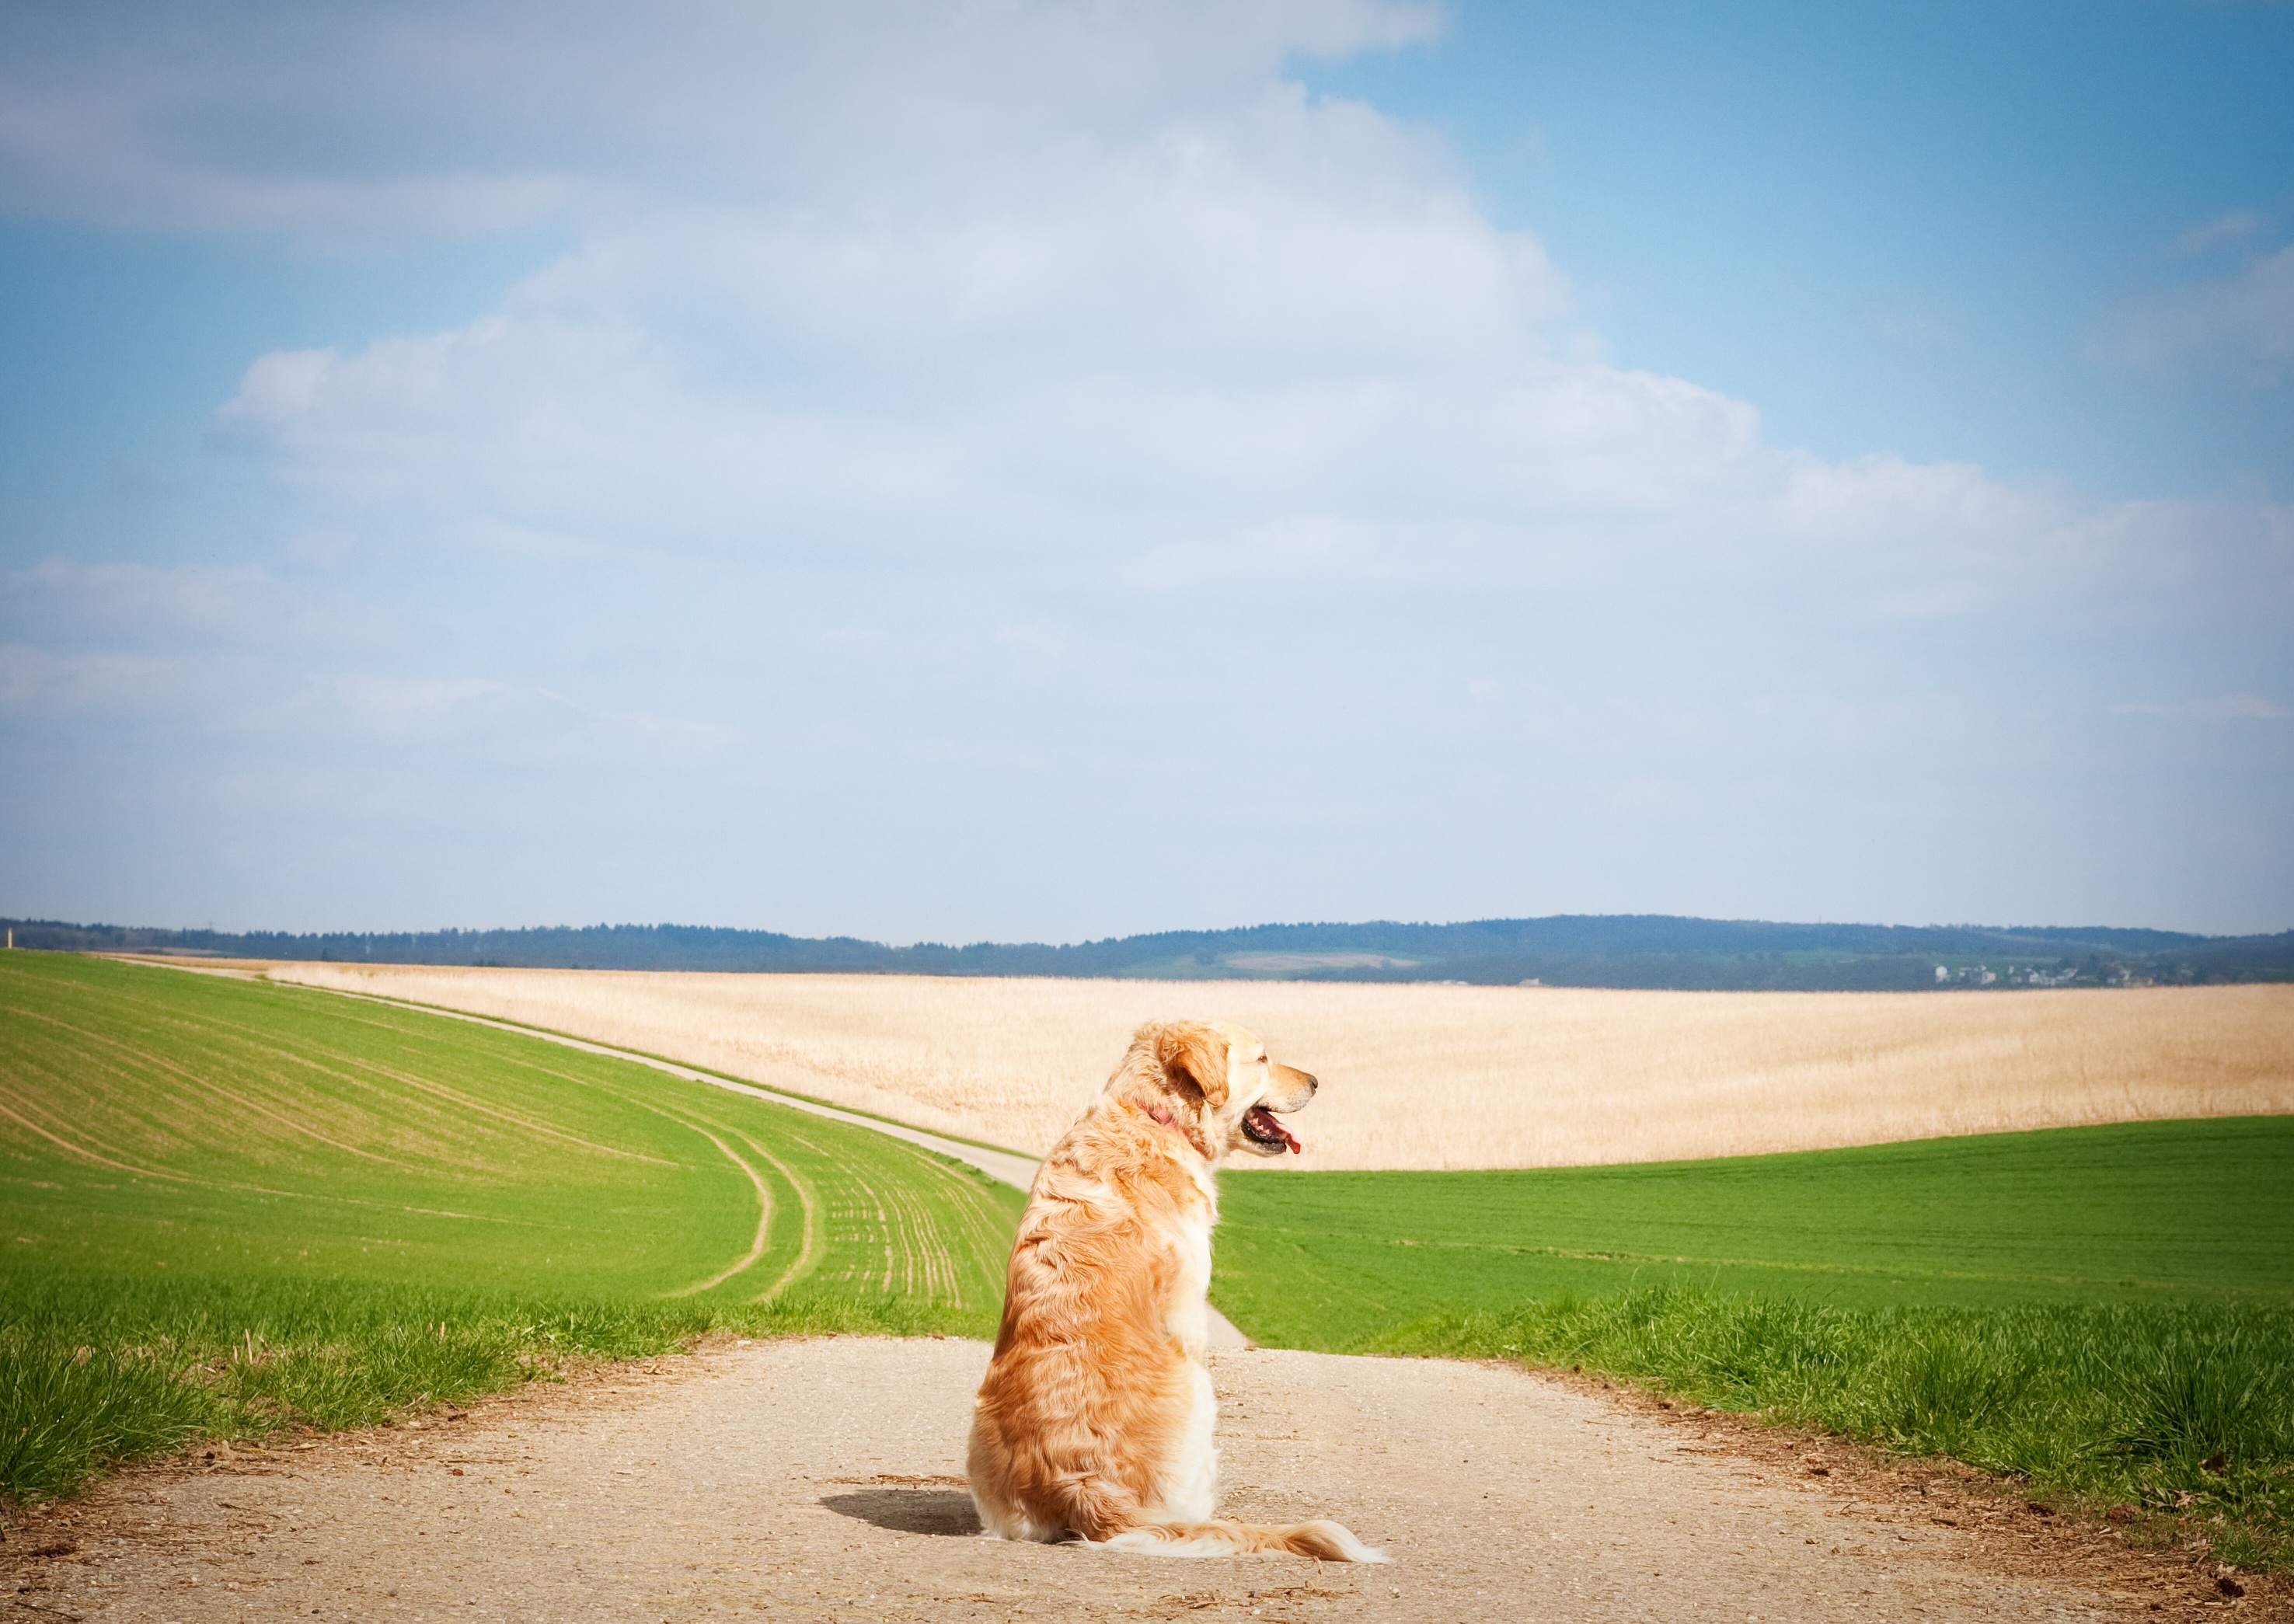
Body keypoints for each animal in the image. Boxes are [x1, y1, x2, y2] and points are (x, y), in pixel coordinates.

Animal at [963, 1013, 1376, 1560]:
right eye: (1263, 1058)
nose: (1315, 1081)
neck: (1154, 1116)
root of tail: (1086, 1488)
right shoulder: (1190, 1308)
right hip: (1199, 1397)